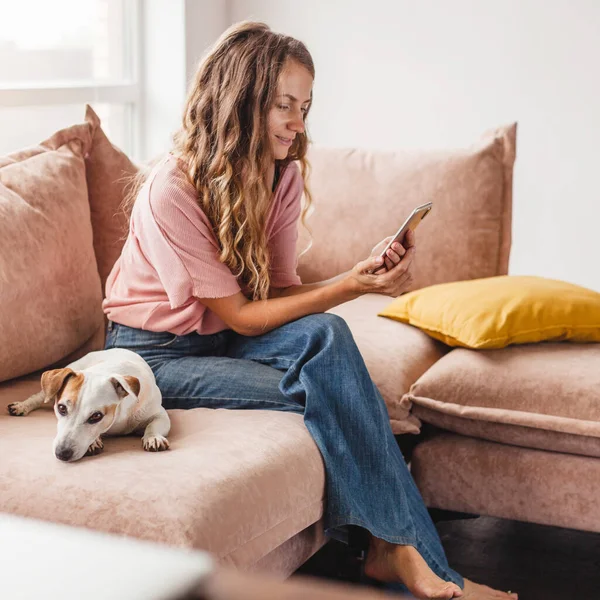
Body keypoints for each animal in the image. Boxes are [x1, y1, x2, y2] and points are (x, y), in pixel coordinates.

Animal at [7, 350, 170, 462]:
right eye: (61, 408)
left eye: (96, 416)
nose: (61, 453)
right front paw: (94, 442)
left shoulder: (160, 414)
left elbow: (154, 424)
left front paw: (153, 437)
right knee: (39, 397)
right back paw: (22, 406)